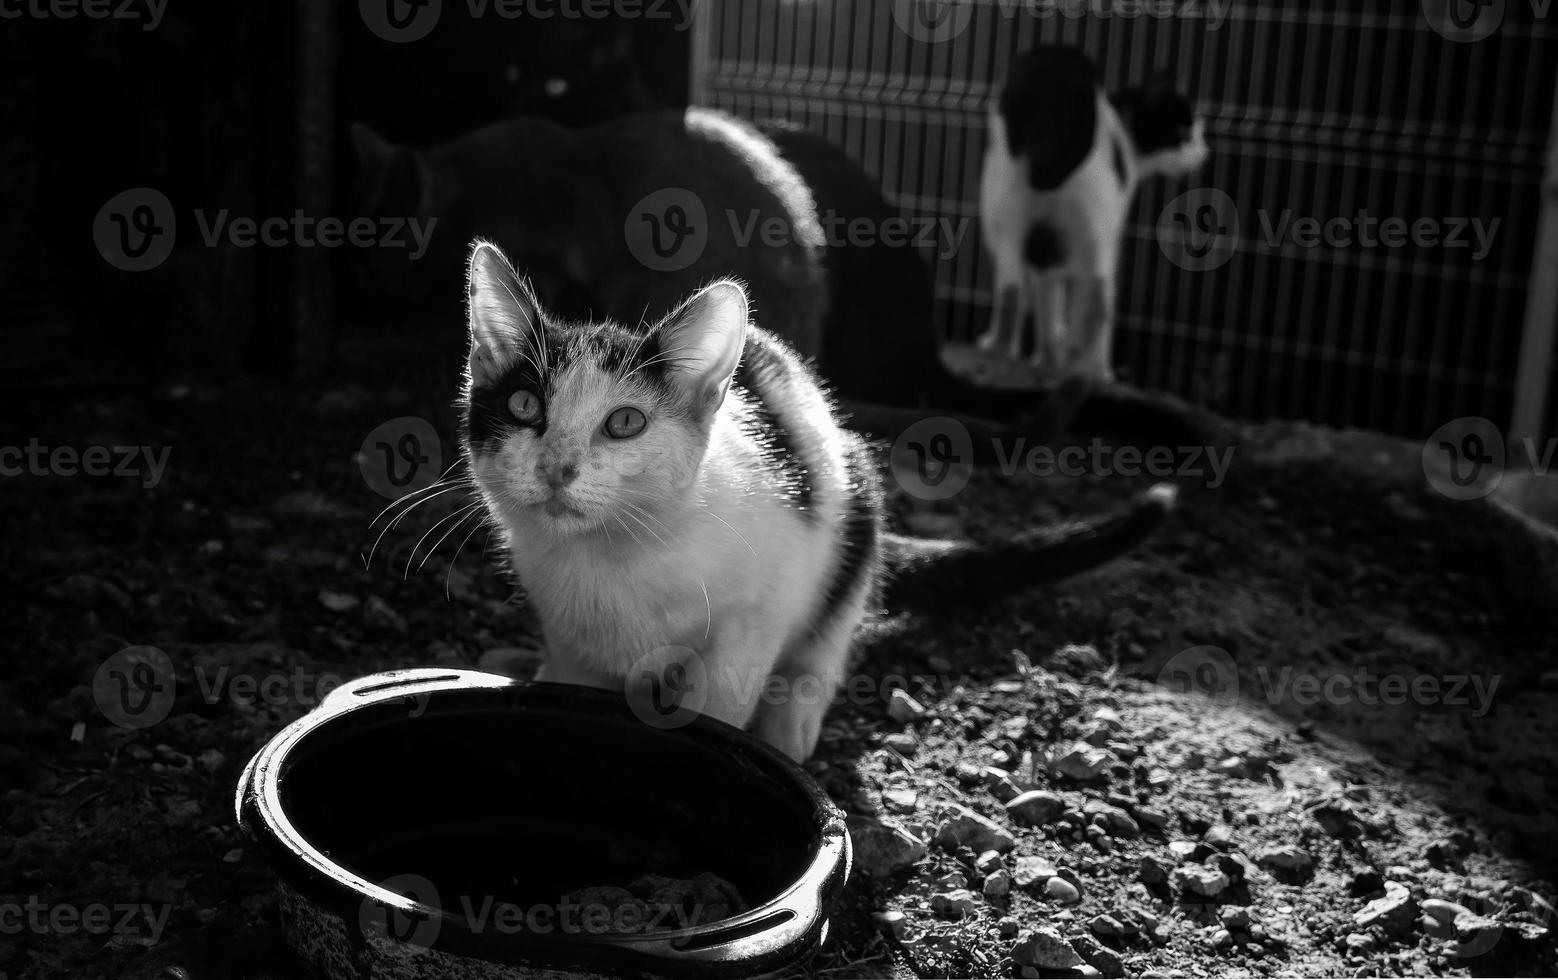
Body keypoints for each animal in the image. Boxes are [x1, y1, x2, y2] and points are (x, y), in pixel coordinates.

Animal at [978, 47, 1209, 380]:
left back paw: (999, 350)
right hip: (1094, 227)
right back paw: (1090, 373)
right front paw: (1069, 362)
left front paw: (1047, 359)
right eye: (1184, 133)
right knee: (1098, 300)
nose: (1204, 153)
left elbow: (1049, 300)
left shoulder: (1047, 250)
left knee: (1011, 290)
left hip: (1004, 214)